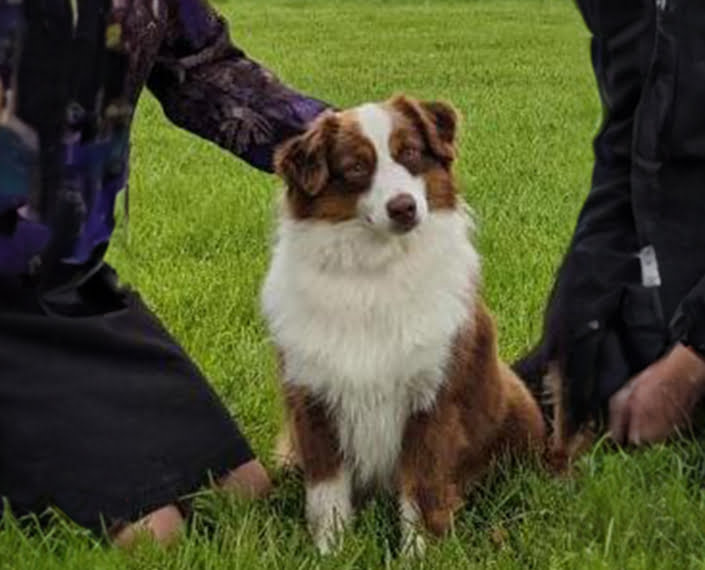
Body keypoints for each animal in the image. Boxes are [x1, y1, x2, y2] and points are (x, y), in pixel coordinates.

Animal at [262, 95, 544, 552]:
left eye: (409, 152)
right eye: (356, 167)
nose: (403, 207)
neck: (375, 270)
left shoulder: (432, 398)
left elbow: (421, 490)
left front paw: (419, 554)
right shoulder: (312, 399)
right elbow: (327, 495)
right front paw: (330, 553)